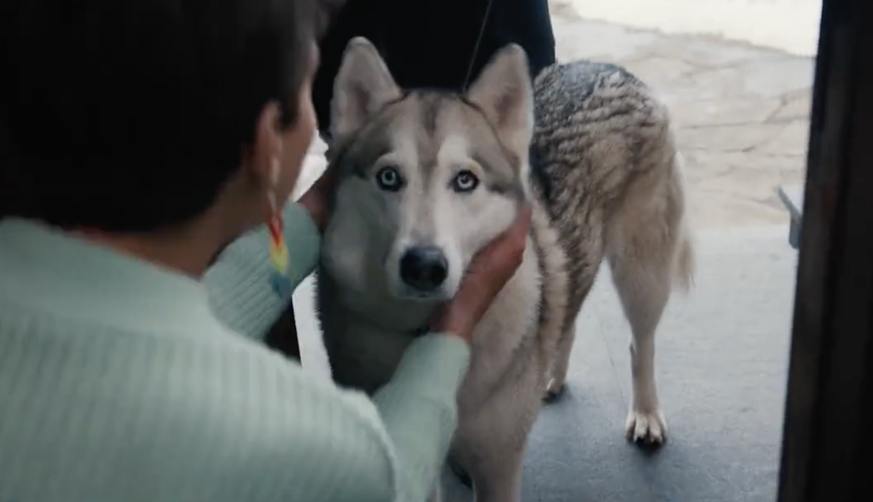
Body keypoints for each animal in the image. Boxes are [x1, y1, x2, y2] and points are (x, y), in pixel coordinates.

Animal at [316, 37, 692, 500]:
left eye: (465, 180)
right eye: (389, 177)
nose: (424, 267)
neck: (418, 334)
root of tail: (606, 66)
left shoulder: (499, 466)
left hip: (641, 277)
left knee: (642, 344)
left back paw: (645, 414)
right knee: (567, 314)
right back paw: (551, 376)